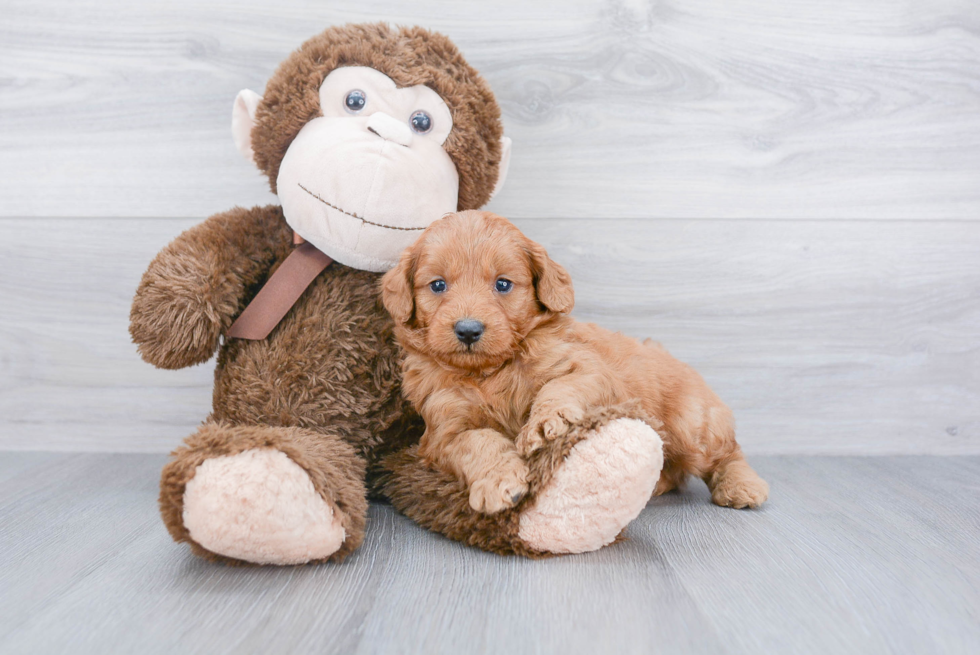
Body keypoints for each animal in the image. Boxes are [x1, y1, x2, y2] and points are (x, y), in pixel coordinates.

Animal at [378, 213, 768, 516]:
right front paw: (500, 481)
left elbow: (560, 386)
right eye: (437, 285)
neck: (491, 371)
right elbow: (480, 441)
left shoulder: (588, 369)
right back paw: (654, 482)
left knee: (727, 452)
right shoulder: (442, 431)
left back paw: (742, 486)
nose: (468, 330)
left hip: (692, 425)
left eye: (503, 284)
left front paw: (545, 422)